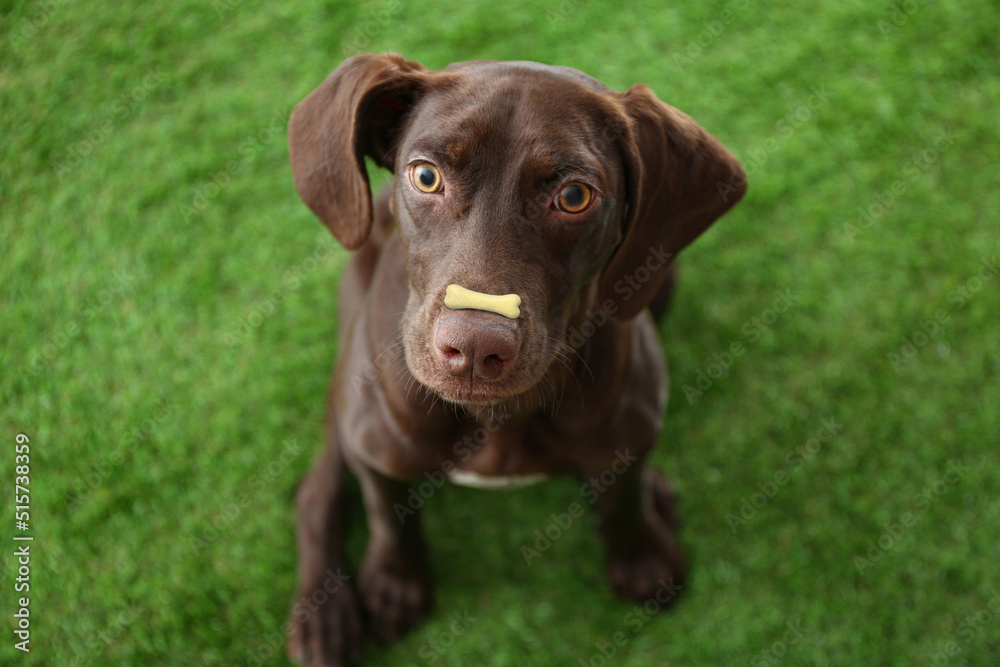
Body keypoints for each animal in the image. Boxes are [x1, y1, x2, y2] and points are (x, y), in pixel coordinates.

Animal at [282, 52, 744, 664]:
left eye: (574, 196)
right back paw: (324, 615)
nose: (476, 347)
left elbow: (622, 494)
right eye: (426, 176)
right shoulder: (375, 445)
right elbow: (388, 514)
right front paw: (395, 583)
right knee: (319, 490)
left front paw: (641, 556)